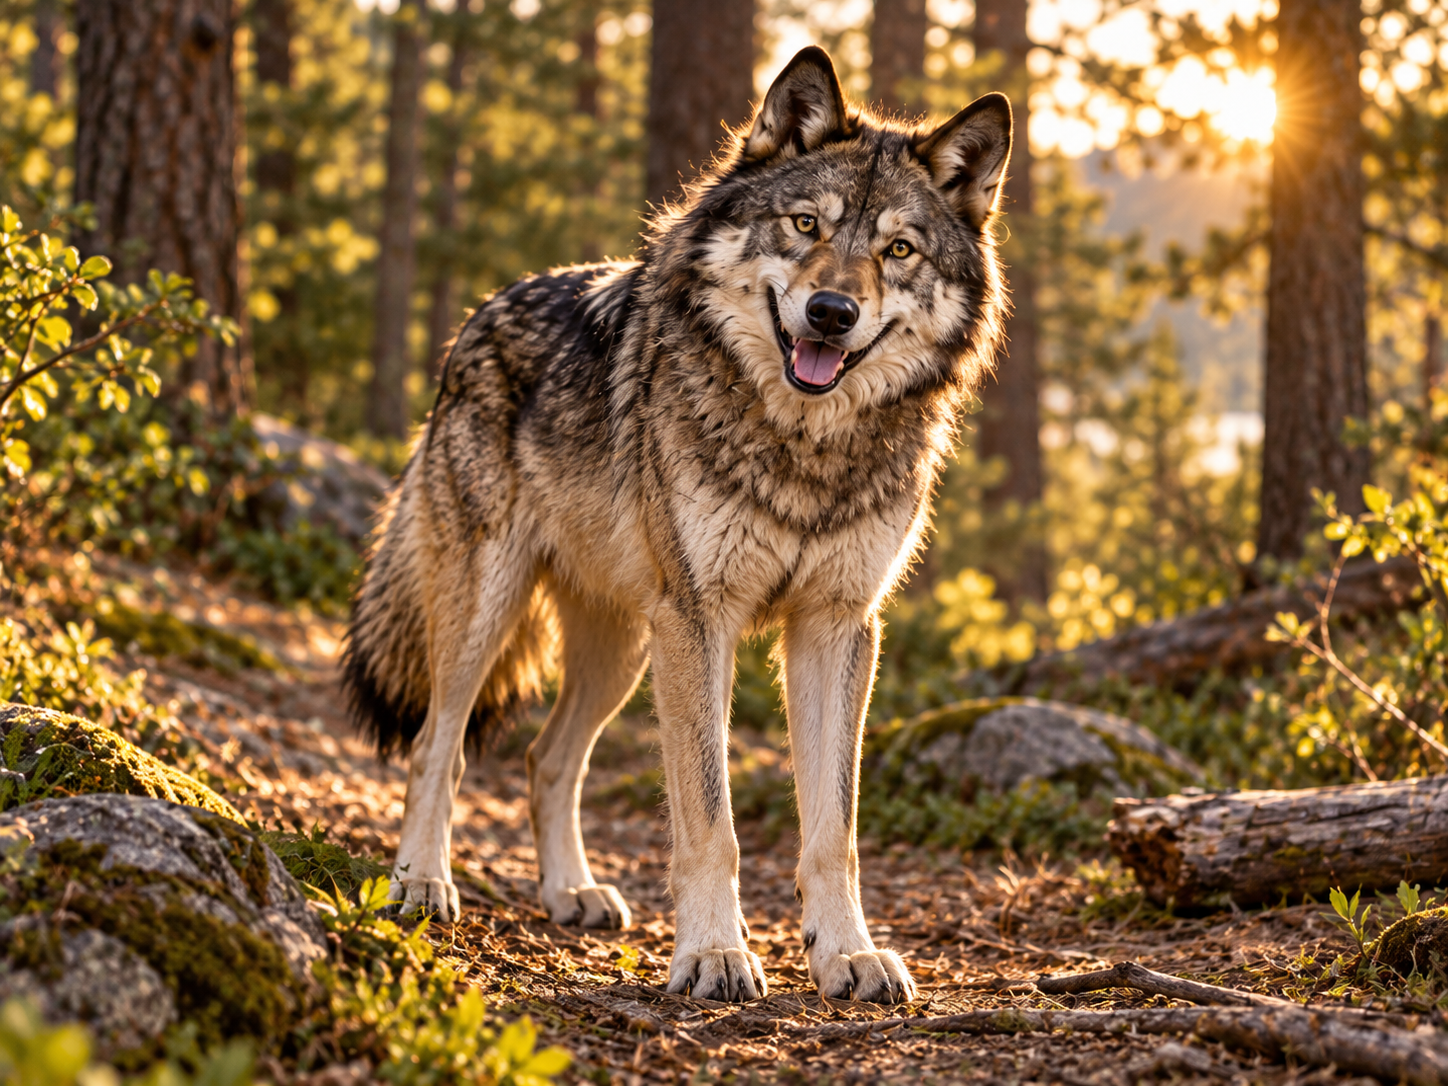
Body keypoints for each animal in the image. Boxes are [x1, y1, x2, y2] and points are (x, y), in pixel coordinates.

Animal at [342, 46, 1011, 1004]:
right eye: (804, 224)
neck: (805, 447)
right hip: (494, 609)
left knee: (548, 760)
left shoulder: (836, 627)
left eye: (898, 249)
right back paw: (422, 883)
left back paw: (572, 892)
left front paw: (846, 955)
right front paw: (715, 953)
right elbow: (710, 817)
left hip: (625, 649)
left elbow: (832, 832)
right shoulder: (702, 619)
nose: (832, 313)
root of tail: (476, 317)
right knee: (443, 743)